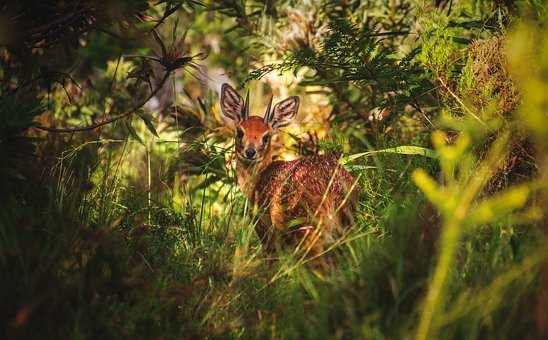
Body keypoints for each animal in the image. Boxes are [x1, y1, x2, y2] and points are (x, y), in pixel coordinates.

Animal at [218, 83, 360, 258]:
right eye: (240, 132)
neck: (256, 182)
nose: (250, 152)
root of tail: (331, 189)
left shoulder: (264, 226)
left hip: (304, 222)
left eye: (266, 136)